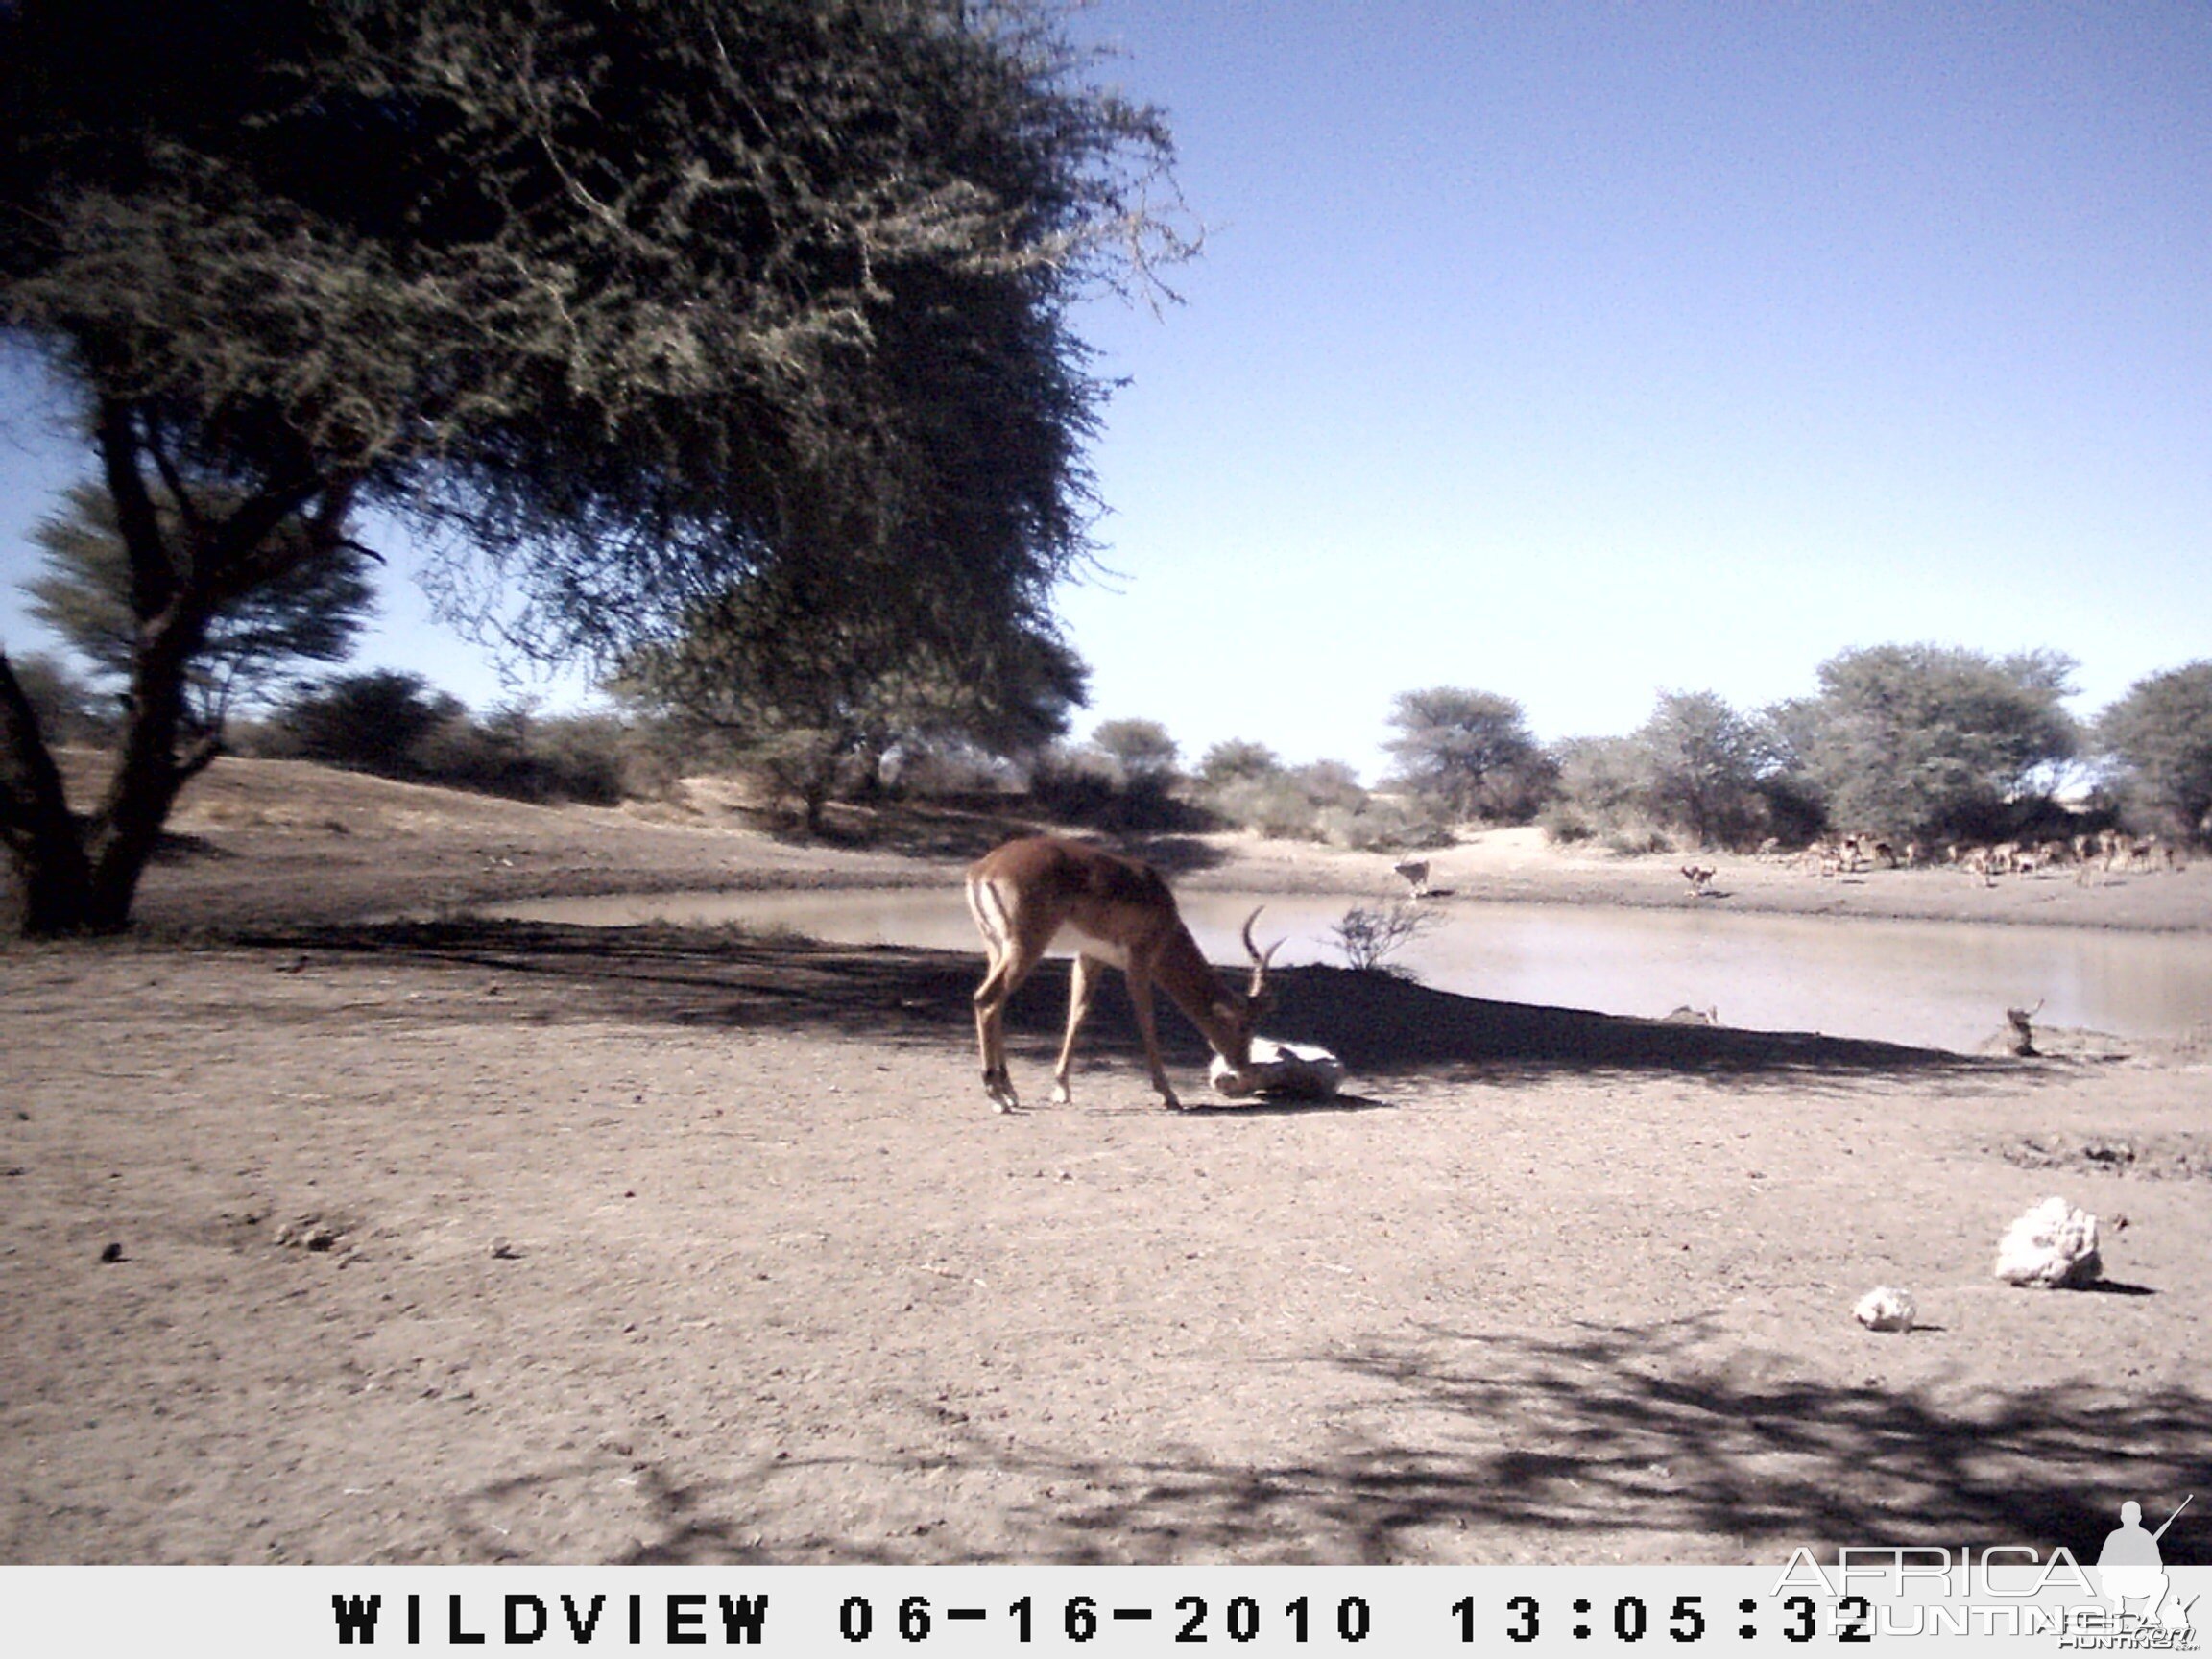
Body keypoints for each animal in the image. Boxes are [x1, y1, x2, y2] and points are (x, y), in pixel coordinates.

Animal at [964, 845, 1283, 1118]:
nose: (1243, 1067)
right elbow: (1147, 1021)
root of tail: (984, 869)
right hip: (1026, 947)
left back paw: (1009, 1091)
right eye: (1243, 1026)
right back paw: (997, 1096)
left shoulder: (1089, 957)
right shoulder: (1140, 961)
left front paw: (1061, 1088)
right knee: (986, 999)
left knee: (996, 1003)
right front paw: (1169, 1095)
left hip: (996, 948)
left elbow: (1077, 1014)